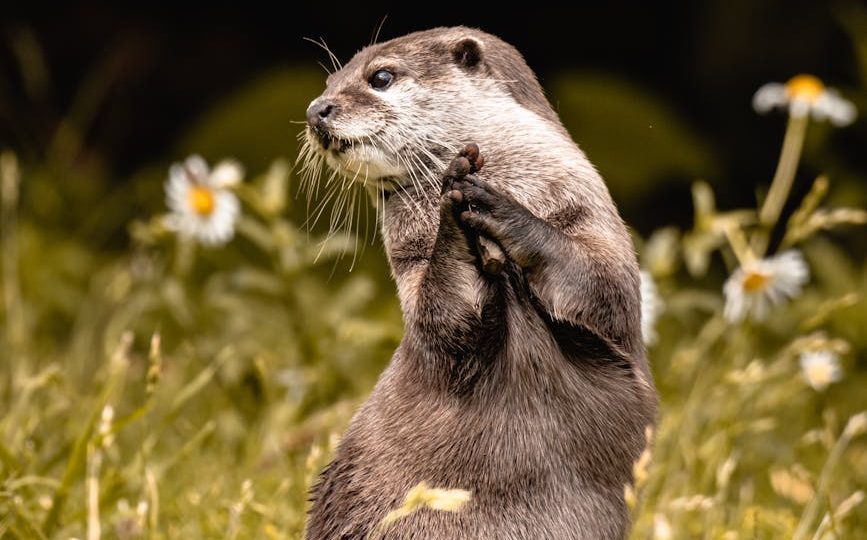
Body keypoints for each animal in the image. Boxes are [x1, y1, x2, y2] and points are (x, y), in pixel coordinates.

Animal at [301, 27, 658, 539]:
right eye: (328, 83)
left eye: (380, 77)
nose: (317, 110)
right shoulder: (414, 268)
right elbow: (446, 323)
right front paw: (454, 210)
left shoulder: (591, 220)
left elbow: (602, 286)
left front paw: (497, 208)